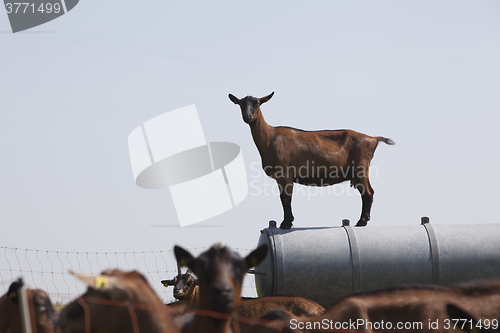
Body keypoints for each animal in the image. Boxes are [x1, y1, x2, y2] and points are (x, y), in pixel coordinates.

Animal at [228, 91, 394, 228]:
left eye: (257, 104)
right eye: (241, 104)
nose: (247, 117)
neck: (271, 138)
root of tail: (372, 139)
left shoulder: (286, 173)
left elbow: (286, 198)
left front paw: (286, 224)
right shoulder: (279, 177)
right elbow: (283, 198)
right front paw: (287, 221)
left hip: (361, 168)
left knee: (368, 193)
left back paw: (362, 221)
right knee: (367, 192)